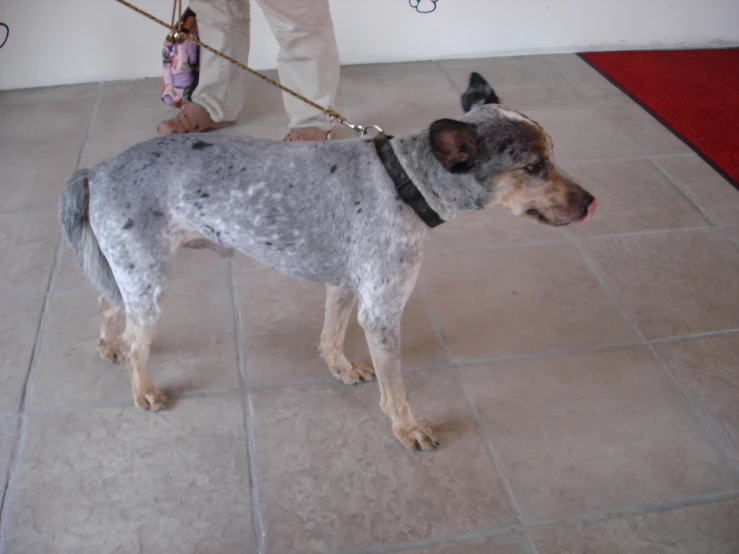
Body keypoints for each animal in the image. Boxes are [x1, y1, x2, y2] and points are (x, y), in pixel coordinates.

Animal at [60, 72, 600, 448]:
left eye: (553, 154)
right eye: (534, 166)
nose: (591, 202)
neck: (403, 183)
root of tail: (98, 169)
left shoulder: (345, 287)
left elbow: (331, 334)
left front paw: (339, 366)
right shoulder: (381, 311)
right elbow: (396, 388)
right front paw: (406, 428)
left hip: (129, 273)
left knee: (110, 306)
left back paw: (108, 344)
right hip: (148, 280)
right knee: (137, 343)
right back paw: (143, 389)